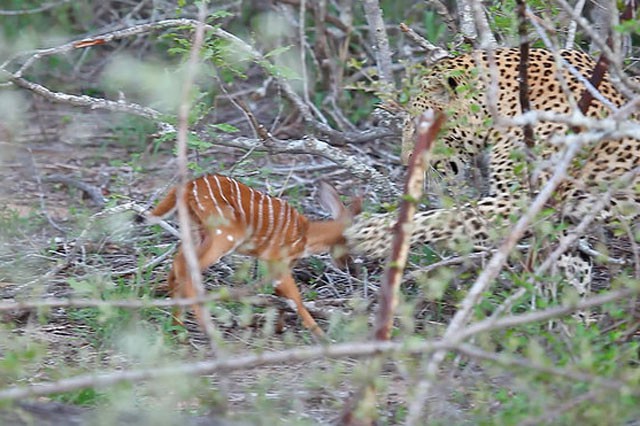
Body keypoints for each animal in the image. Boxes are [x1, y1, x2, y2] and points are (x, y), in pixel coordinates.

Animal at [344, 49, 640, 286]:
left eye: (419, 127)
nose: (405, 163)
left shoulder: (523, 201)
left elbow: (445, 217)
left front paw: (372, 234)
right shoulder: (564, 216)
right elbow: (573, 273)